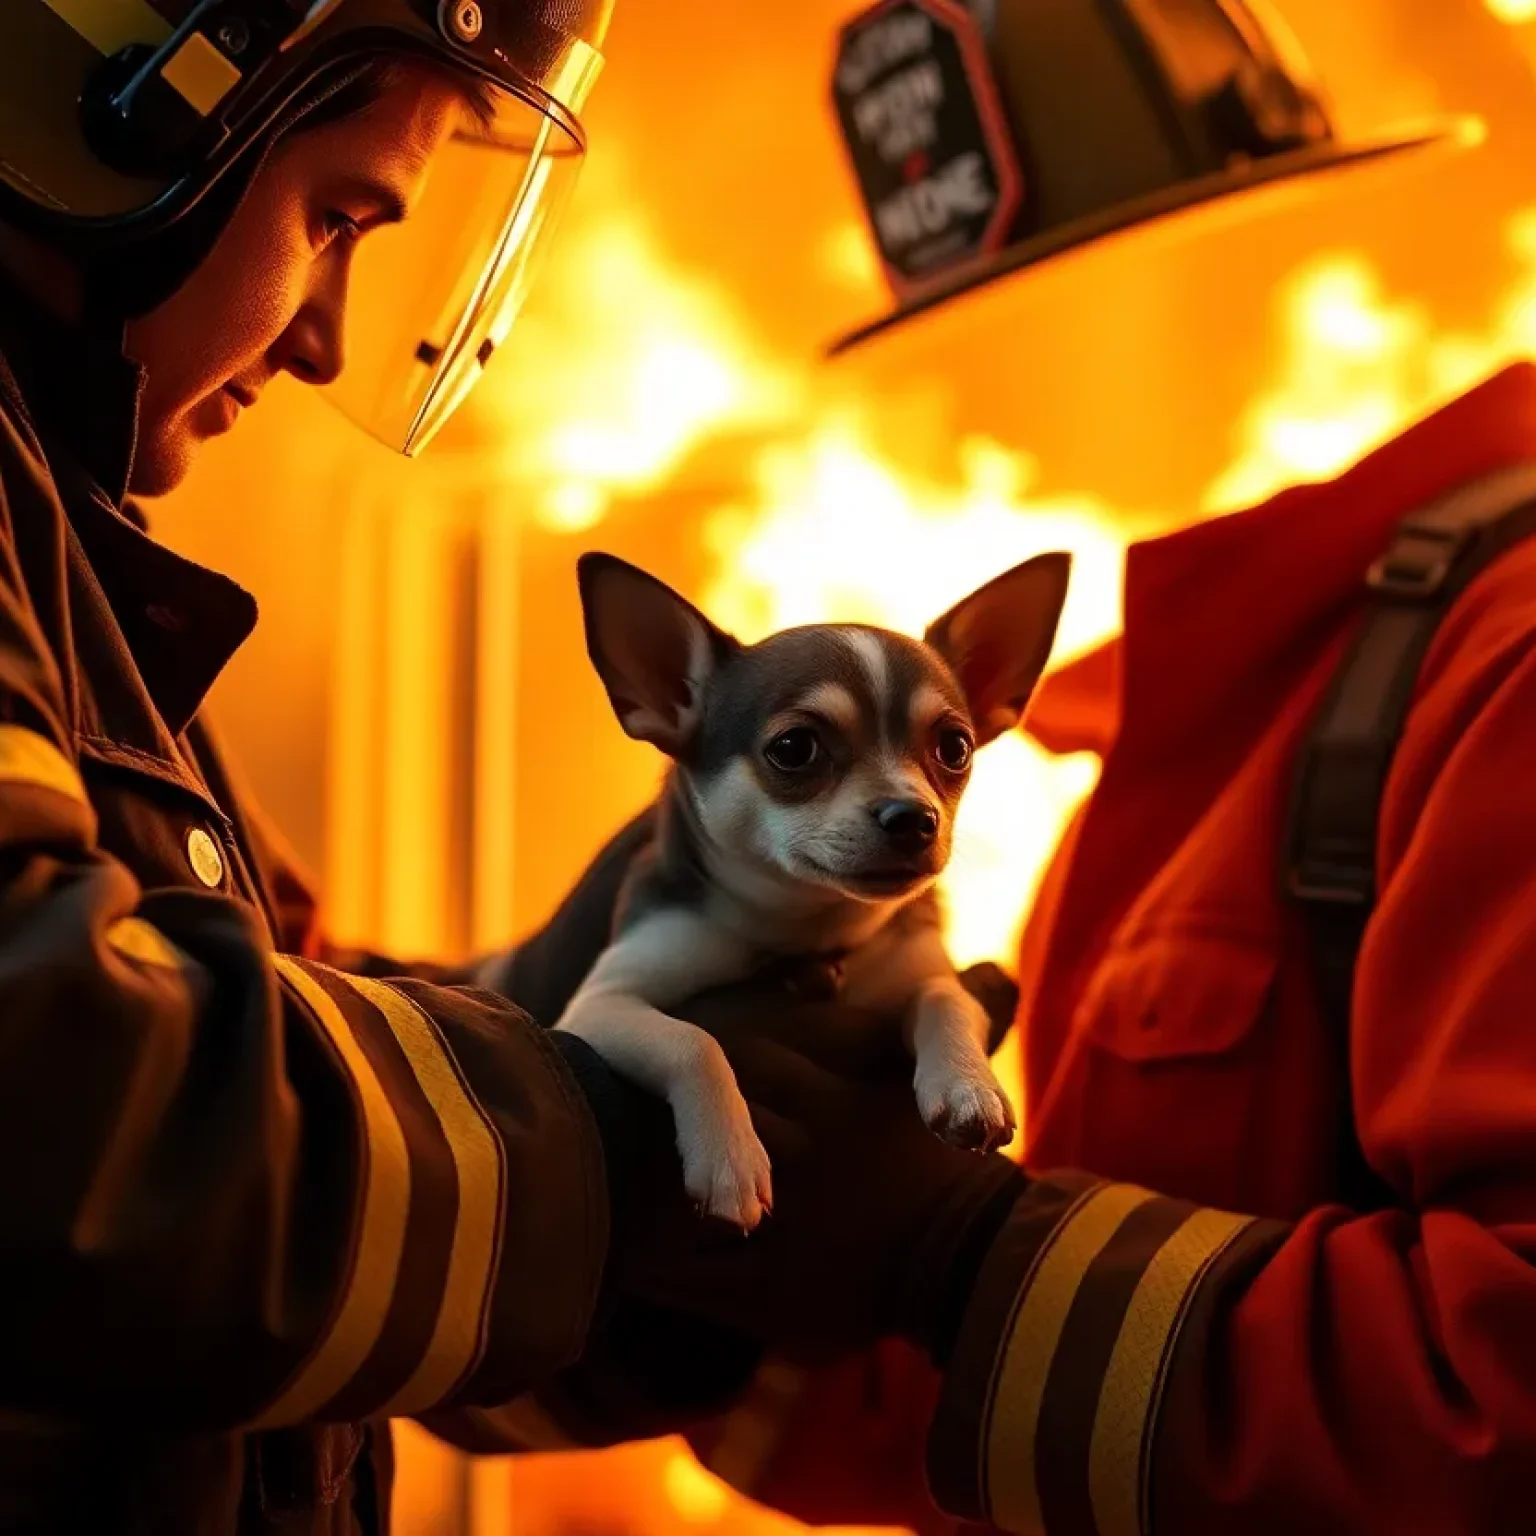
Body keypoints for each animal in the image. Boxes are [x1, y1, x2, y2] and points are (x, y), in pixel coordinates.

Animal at [559, 546, 1075, 1228]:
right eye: (794, 748)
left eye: (955, 748)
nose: (914, 817)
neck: (809, 926)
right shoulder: (601, 1005)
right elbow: (693, 1039)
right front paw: (728, 1158)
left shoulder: (914, 967)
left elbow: (947, 996)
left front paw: (969, 1085)